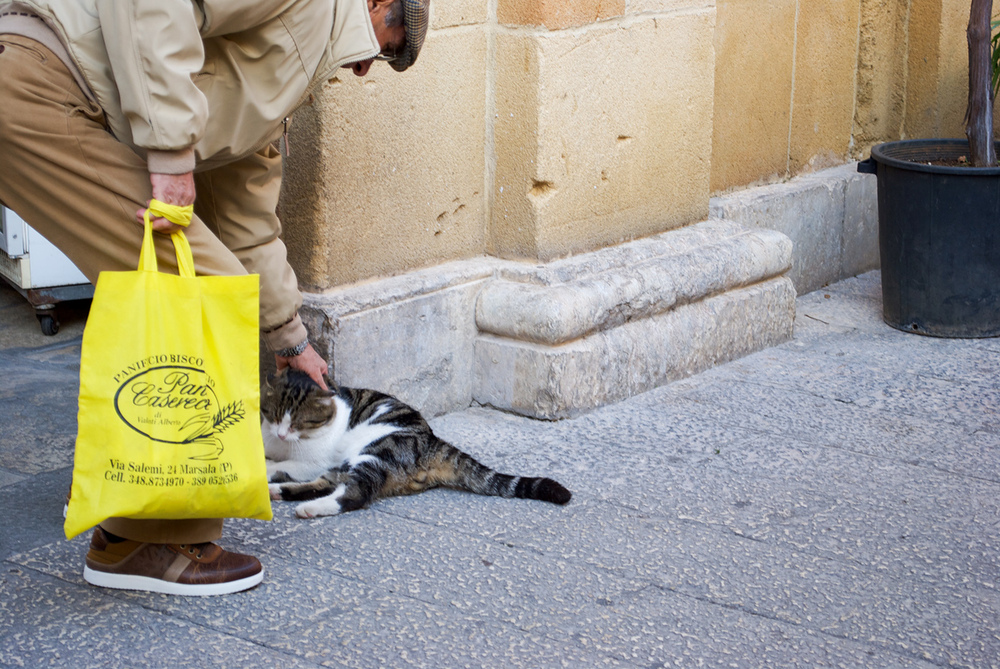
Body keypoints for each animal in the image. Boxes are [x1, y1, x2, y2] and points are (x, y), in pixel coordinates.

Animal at [260, 370, 572, 516]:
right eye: (273, 415)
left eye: (297, 422)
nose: (281, 434)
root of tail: (433, 440)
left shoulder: (314, 460)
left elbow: (285, 464)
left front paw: (265, 468)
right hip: (353, 461)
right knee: (329, 483)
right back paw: (278, 492)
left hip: (377, 452)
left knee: (353, 493)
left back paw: (308, 507)